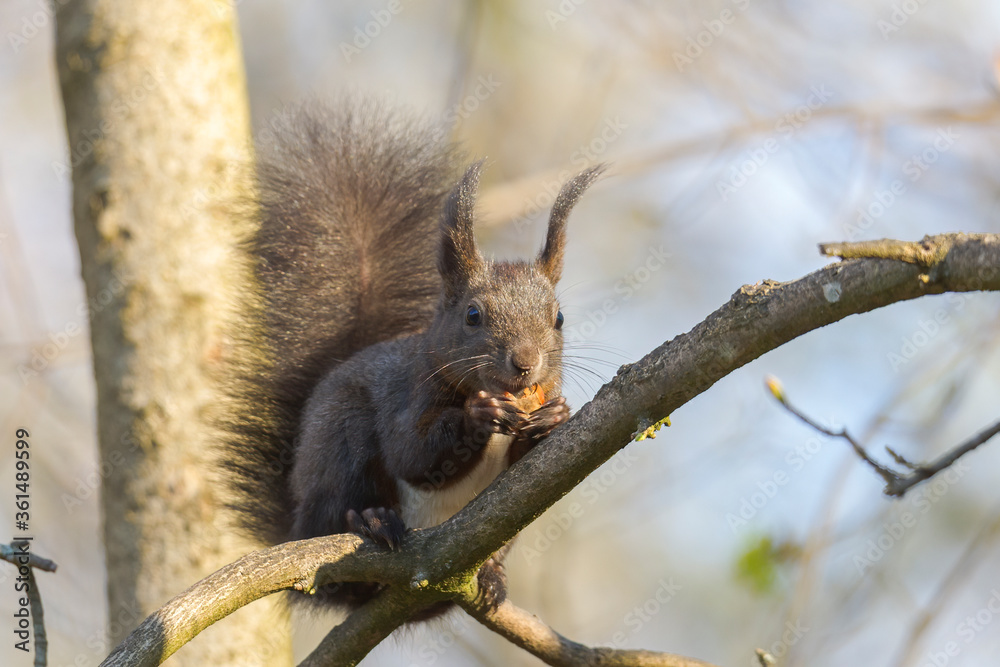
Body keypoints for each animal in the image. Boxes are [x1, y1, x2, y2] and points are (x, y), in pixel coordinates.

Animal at [221, 99, 602, 613]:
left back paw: (490, 574)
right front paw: (479, 413)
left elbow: (532, 470)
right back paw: (369, 522)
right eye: (473, 315)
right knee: (335, 519)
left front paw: (555, 416)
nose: (525, 363)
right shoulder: (408, 393)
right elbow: (412, 454)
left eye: (558, 318)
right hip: (340, 438)